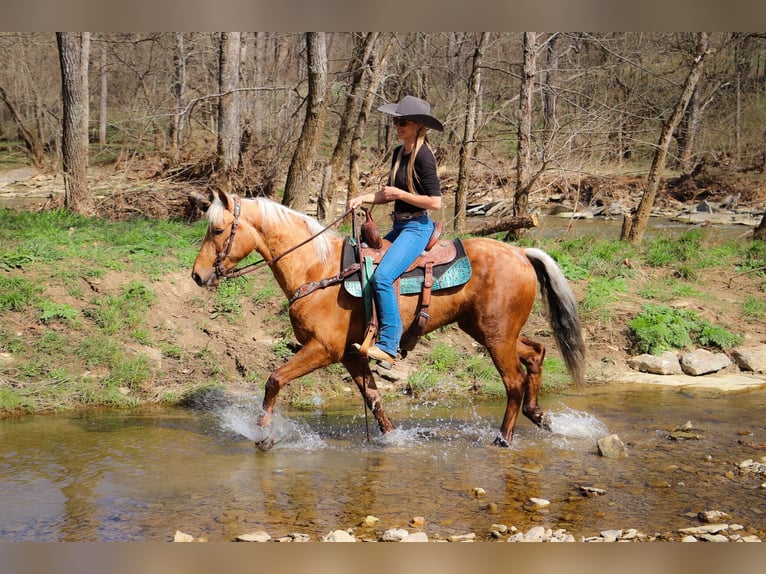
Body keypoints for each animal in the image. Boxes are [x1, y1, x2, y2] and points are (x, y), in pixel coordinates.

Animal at [192, 192, 588, 450]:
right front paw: (393, 436)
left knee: (514, 382)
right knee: (536, 353)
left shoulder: (324, 349)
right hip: (486, 329)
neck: (316, 269)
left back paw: (504, 438)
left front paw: (263, 434)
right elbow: (374, 398)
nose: (198, 275)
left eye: (217, 230)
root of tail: (521, 252)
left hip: (496, 335)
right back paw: (539, 416)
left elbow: (274, 380)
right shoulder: (351, 355)